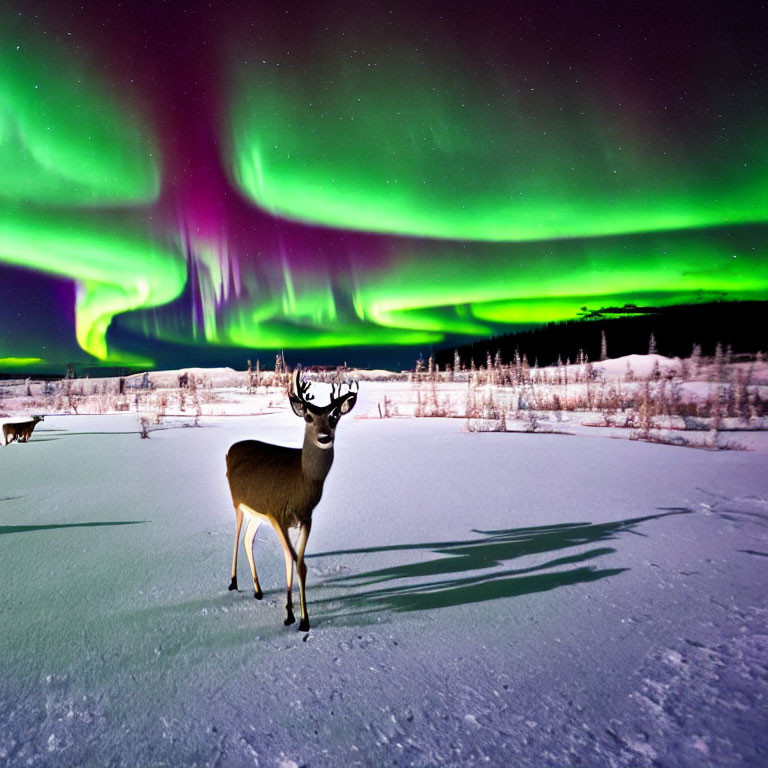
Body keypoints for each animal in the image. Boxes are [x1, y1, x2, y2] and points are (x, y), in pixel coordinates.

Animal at [226, 368, 358, 632]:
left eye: (335, 416)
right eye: (308, 416)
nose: (324, 437)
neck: (301, 482)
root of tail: (230, 449)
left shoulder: (305, 518)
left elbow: (300, 563)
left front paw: (302, 618)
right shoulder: (277, 513)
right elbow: (290, 557)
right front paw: (291, 614)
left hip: (257, 512)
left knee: (247, 539)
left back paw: (258, 590)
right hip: (238, 502)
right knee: (236, 535)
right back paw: (233, 582)